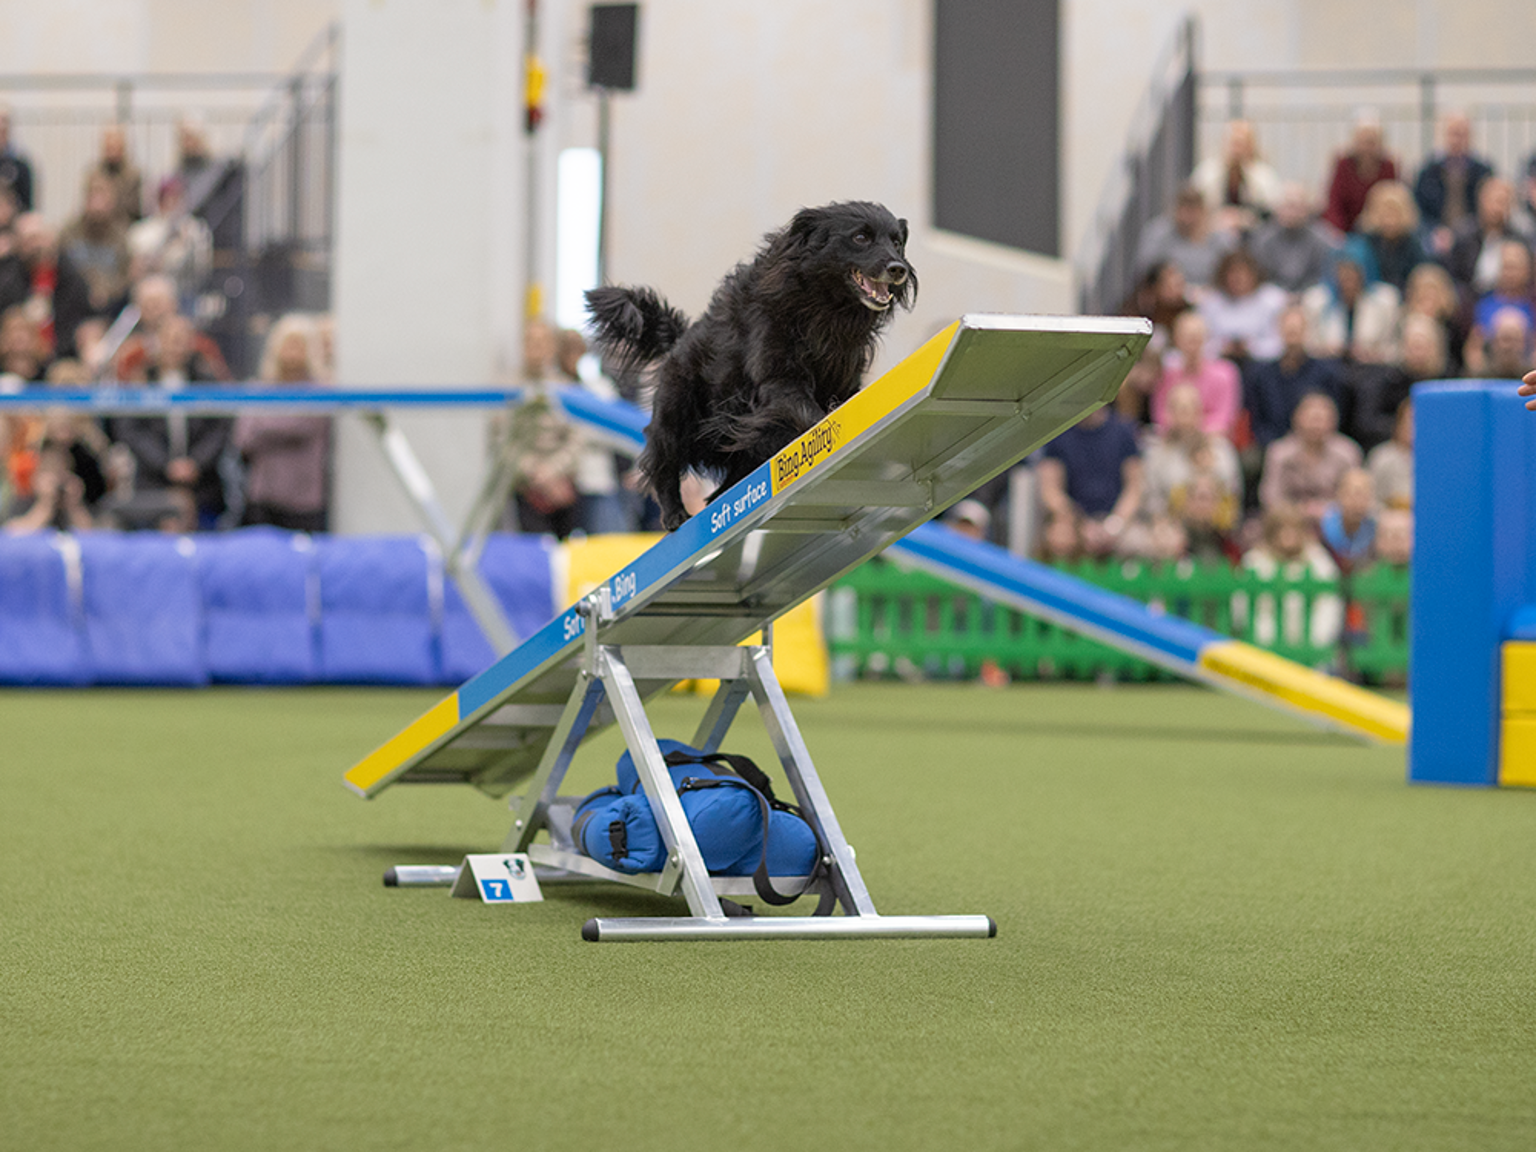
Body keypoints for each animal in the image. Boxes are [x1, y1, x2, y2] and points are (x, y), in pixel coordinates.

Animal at [577, 201, 909, 531]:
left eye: (897, 242)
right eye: (860, 237)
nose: (899, 269)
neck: (824, 307)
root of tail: (679, 339)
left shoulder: (846, 381)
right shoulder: (779, 382)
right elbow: (811, 415)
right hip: (676, 411)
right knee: (663, 461)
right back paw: (675, 515)